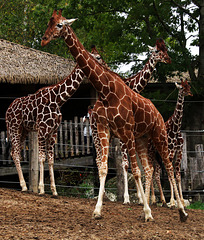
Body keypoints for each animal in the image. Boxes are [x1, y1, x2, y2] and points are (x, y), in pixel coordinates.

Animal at [5, 46, 105, 195]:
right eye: (98, 57)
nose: (105, 67)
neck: (58, 100)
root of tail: (7, 111)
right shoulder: (42, 129)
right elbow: (41, 158)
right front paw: (41, 189)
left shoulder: (53, 131)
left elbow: (51, 160)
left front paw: (54, 191)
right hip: (14, 127)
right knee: (16, 153)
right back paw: (23, 186)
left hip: (24, 130)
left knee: (14, 152)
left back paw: (25, 186)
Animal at [90, 38, 171, 203]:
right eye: (156, 51)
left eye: (165, 50)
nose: (167, 58)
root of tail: (91, 112)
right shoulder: (124, 135)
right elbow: (126, 164)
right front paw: (130, 198)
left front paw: (141, 197)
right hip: (96, 132)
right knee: (99, 160)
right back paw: (104, 196)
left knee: (100, 160)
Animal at [150, 79, 193, 207]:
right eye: (182, 88)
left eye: (189, 86)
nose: (190, 93)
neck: (175, 129)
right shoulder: (169, 151)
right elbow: (170, 174)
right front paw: (174, 201)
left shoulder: (178, 151)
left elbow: (177, 174)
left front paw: (182, 201)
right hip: (151, 153)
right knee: (152, 172)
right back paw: (153, 199)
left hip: (158, 156)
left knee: (156, 174)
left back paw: (162, 200)